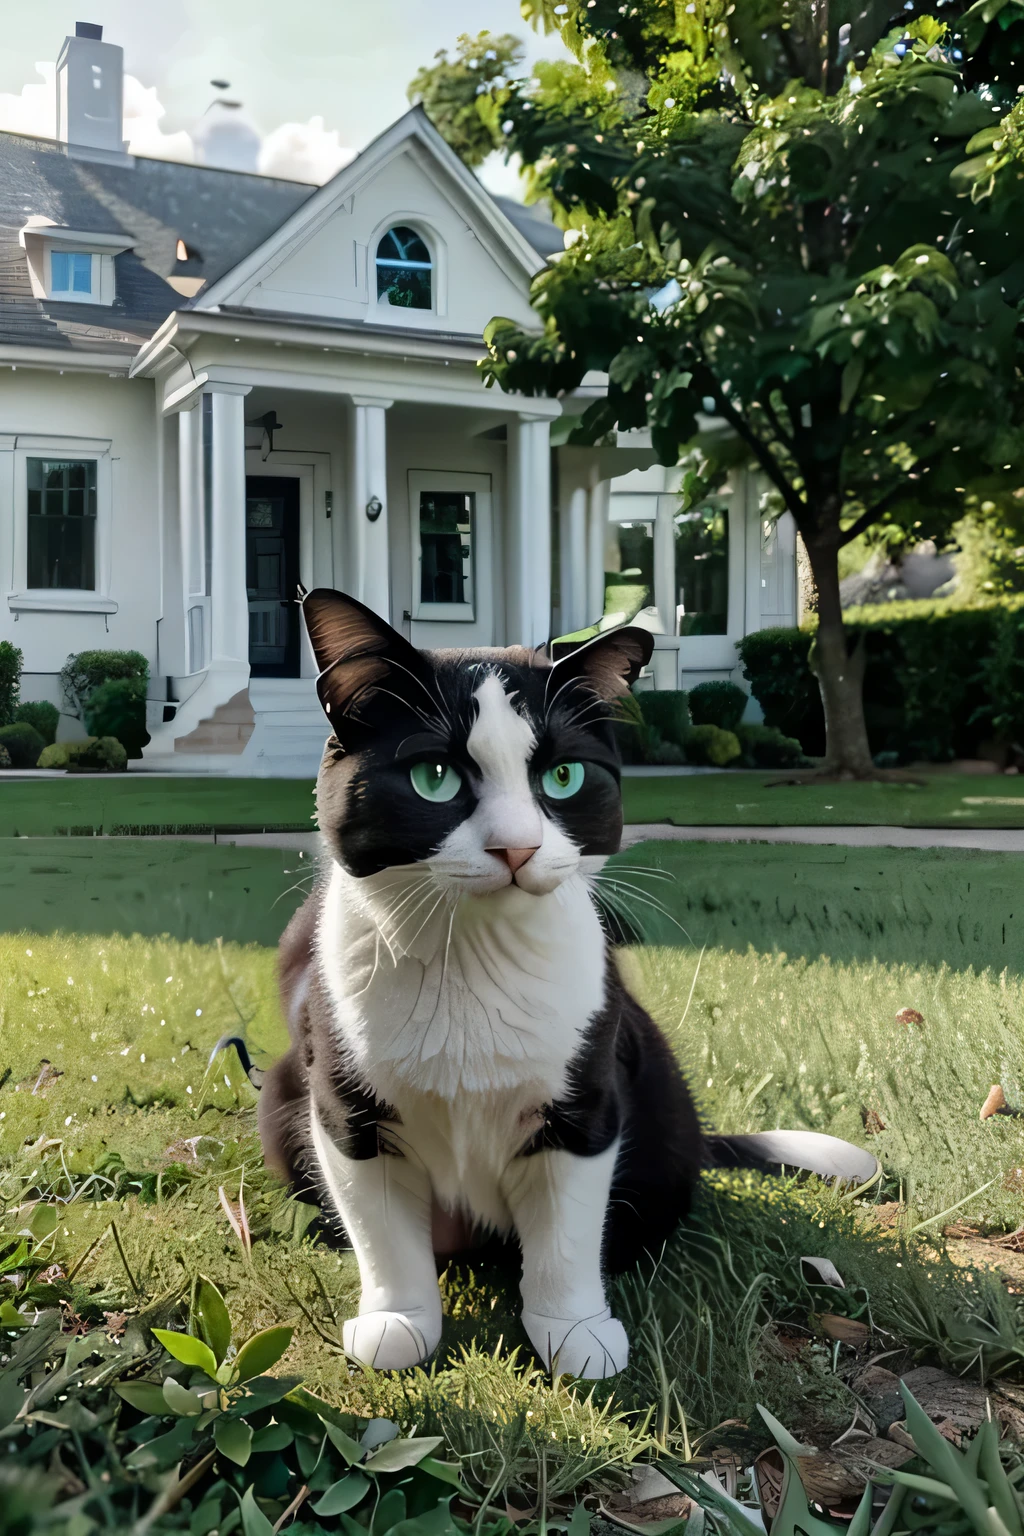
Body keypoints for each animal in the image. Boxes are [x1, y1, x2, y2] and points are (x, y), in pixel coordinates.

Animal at [257, 583, 884, 1382]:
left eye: (563, 777)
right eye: (434, 778)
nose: (517, 847)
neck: (473, 963)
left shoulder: (587, 1096)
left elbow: (565, 1229)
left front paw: (575, 1330)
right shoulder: (345, 1104)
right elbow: (383, 1228)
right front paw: (398, 1320)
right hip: (284, 1084)